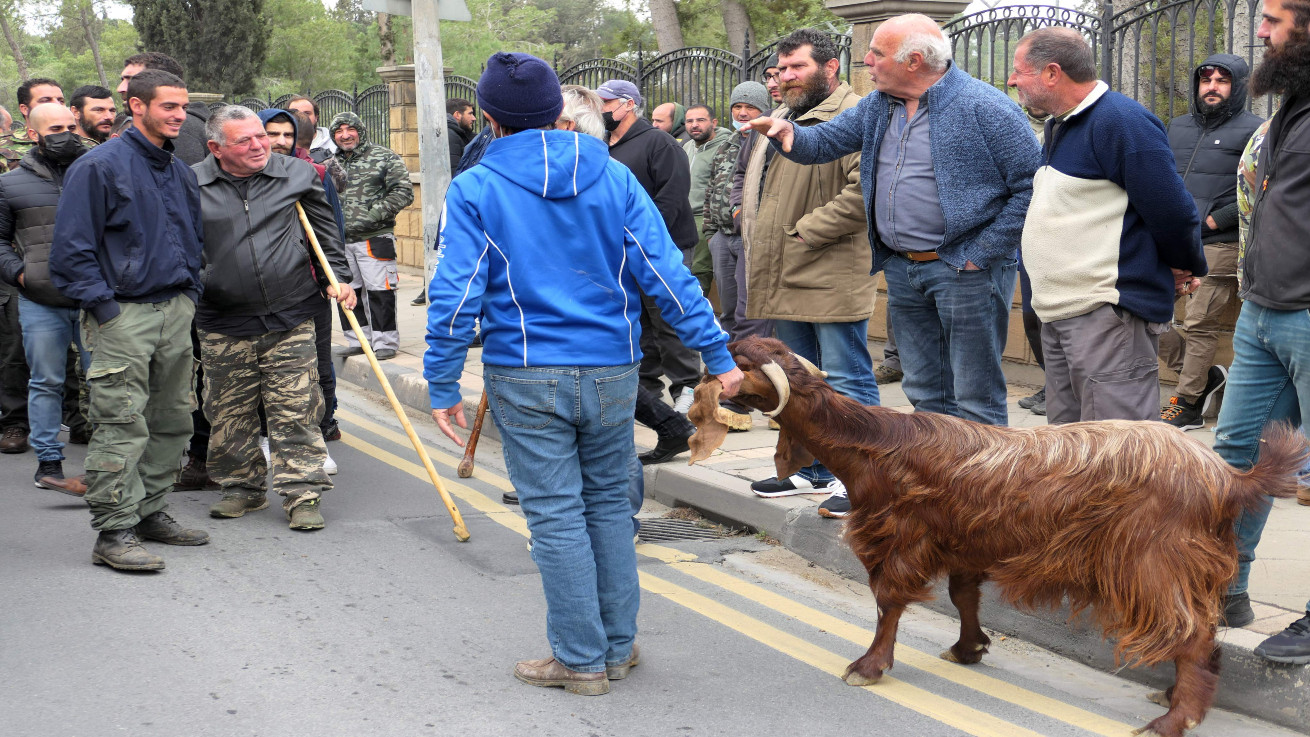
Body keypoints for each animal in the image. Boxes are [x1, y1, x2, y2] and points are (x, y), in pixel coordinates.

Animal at [691, 337, 1304, 737]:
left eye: (738, 365)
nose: (700, 380)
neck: (876, 441)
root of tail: (1227, 477)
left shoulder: (902, 539)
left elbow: (888, 603)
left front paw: (868, 667)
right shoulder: (963, 541)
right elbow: (963, 596)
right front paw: (969, 649)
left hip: (1155, 560)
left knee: (1193, 633)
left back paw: (1175, 718)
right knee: (1201, 631)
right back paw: (1176, 694)